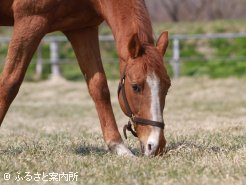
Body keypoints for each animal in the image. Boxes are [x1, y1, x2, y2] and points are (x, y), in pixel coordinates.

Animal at [0, 0, 170, 156]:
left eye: (167, 87)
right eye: (135, 86)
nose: (156, 146)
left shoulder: (82, 29)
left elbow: (99, 88)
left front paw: (119, 148)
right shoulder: (30, 19)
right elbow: (10, 83)